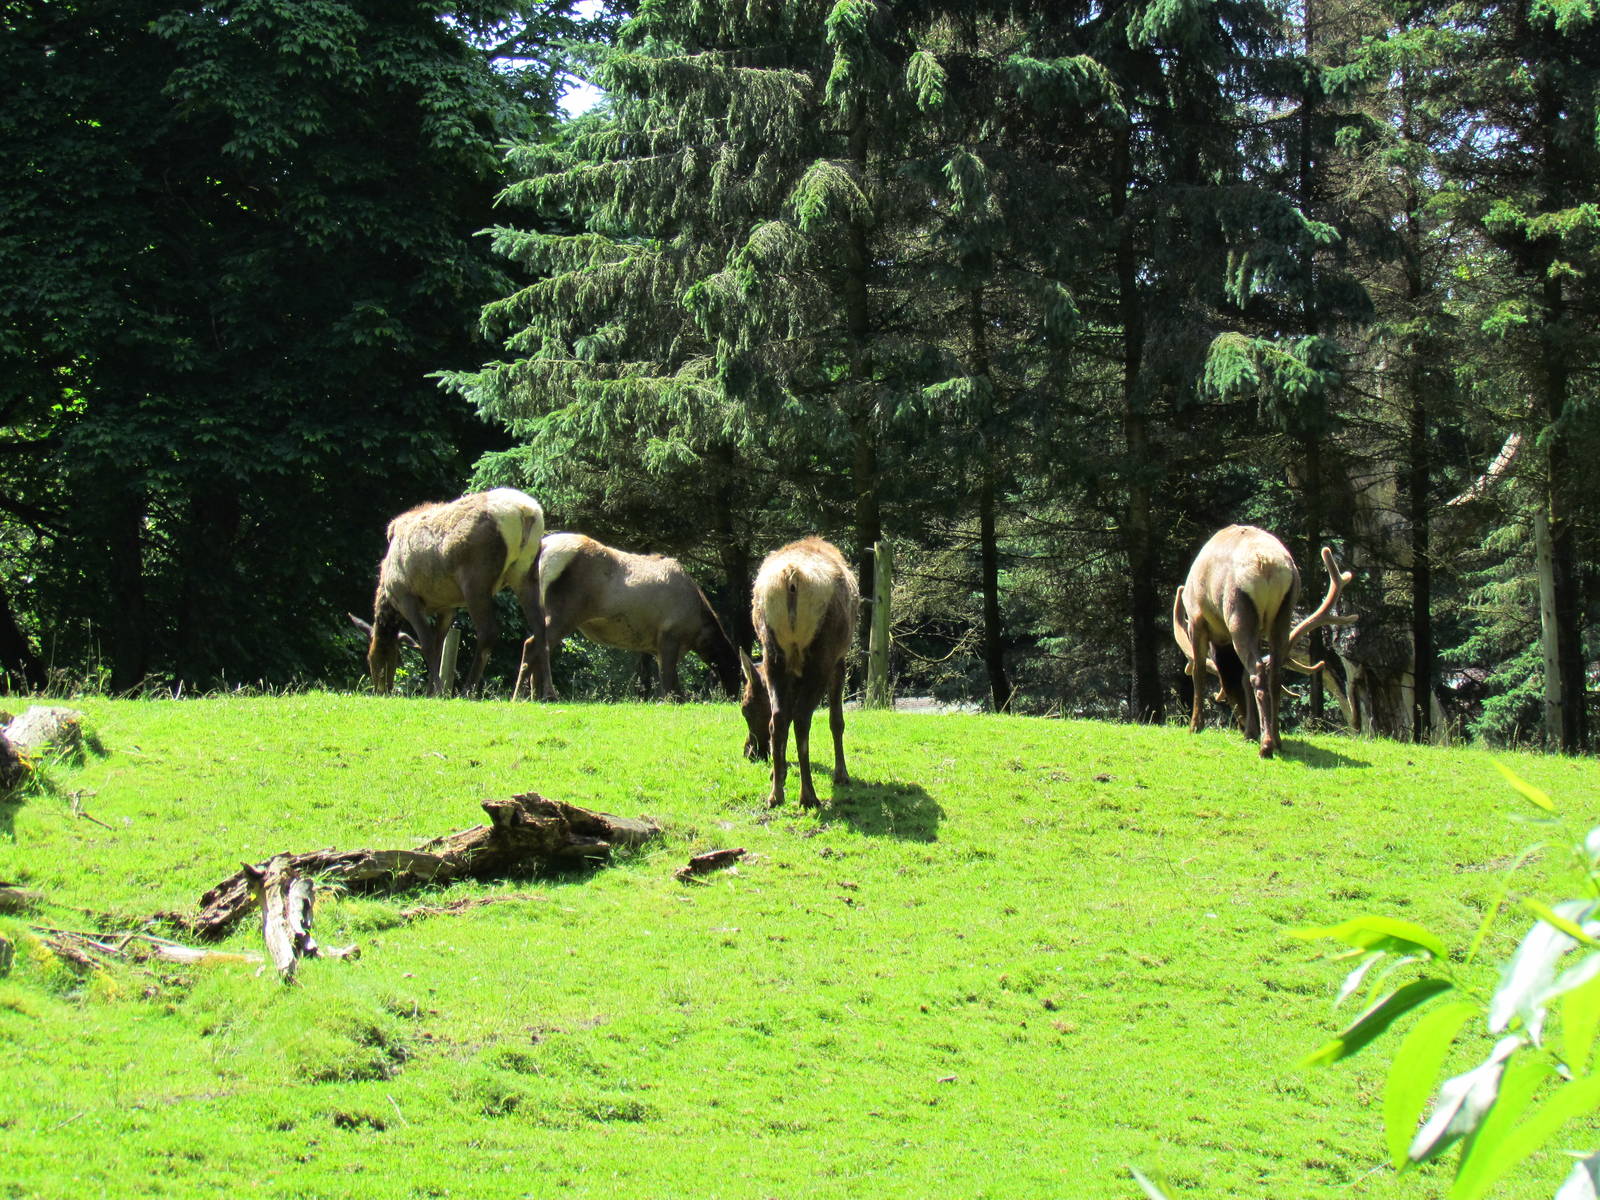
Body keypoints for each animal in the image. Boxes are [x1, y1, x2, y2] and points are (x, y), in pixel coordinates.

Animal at [366, 488, 553, 699]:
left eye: (371, 658)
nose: (380, 690)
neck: (386, 595)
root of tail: (526, 511)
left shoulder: (407, 599)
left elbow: (427, 643)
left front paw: (438, 690)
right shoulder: (448, 606)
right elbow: (438, 646)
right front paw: (430, 691)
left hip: (476, 579)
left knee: (488, 631)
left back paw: (467, 690)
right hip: (525, 574)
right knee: (540, 629)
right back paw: (549, 691)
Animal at [512, 533, 742, 701]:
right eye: (735, 670)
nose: (734, 696)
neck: (698, 629)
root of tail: (542, 550)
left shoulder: (658, 646)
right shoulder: (669, 635)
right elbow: (668, 678)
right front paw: (675, 699)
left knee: (539, 645)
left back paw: (534, 696)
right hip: (565, 613)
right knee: (533, 644)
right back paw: (522, 696)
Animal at [739, 537, 859, 809]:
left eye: (745, 709)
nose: (749, 752)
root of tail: (791, 577)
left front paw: (778, 772)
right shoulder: (839, 660)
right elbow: (836, 721)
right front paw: (842, 774)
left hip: (773, 652)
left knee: (779, 718)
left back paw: (776, 794)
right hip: (820, 656)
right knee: (803, 718)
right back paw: (808, 795)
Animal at [1171, 524, 1356, 758]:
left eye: (1227, 697)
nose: (1240, 723)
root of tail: (1267, 563)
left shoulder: (1196, 618)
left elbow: (1199, 672)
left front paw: (1195, 726)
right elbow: (1242, 677)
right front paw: (1251, 731)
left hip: (1238, 610)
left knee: (1257, 670)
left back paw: (1266, 746)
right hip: (1283, 611)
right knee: (1273, 673)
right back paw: (1275, 738)